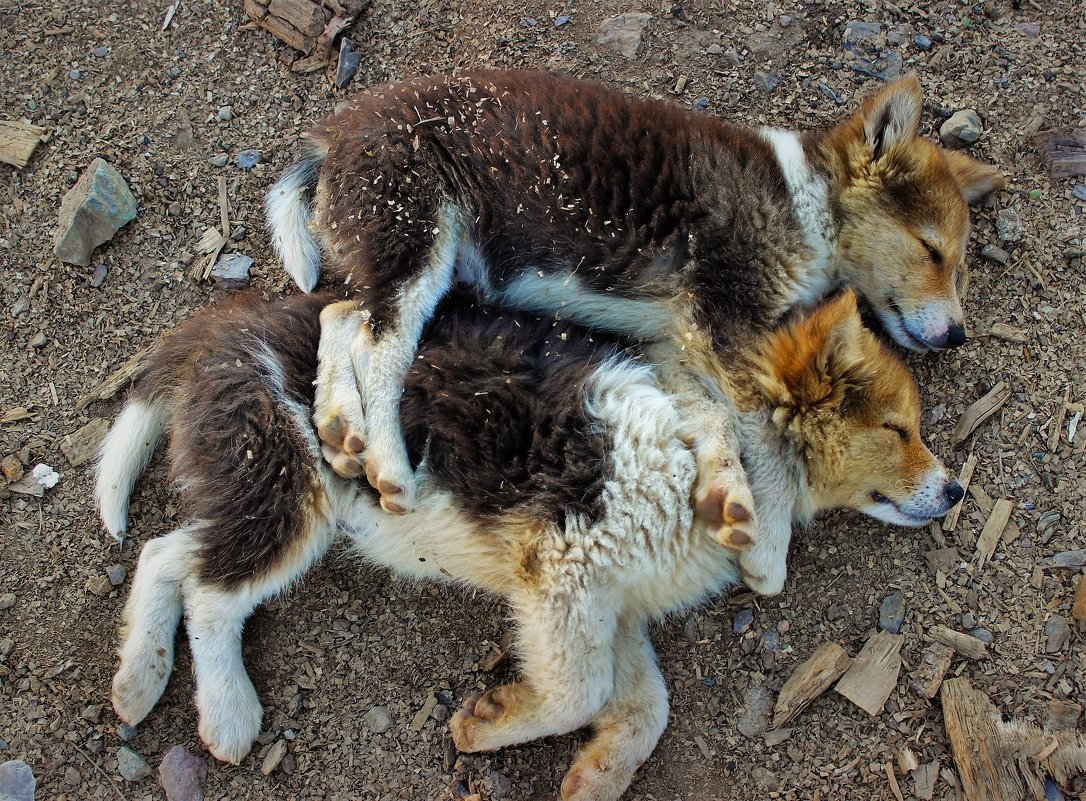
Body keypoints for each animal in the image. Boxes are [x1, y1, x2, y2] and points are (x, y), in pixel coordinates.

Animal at [93, 284, 960, 794]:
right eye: (899, 428)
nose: (955, 491)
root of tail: (224, 327)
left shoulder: (609, 604)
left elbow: (641, 706)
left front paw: (594, 776)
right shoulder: (564, 566)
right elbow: (580, 692)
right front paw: (486, 723)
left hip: (267, 494)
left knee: (166, 553)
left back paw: (138, 677)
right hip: (293, 487)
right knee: (209, 592)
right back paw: (227, 712)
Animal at [269, 68, 999, 529]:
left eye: (959, 262)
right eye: (933, 250)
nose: (960, 334)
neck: (804, 203)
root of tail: (332, 141)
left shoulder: (680, 340)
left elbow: (712, 419)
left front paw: (727, 495)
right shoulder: (723, 322)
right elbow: (753, 427)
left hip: (394, 264)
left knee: (342, 318)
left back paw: (341, 429)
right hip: (419, 246)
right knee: (381, 352)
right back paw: (387, 462)